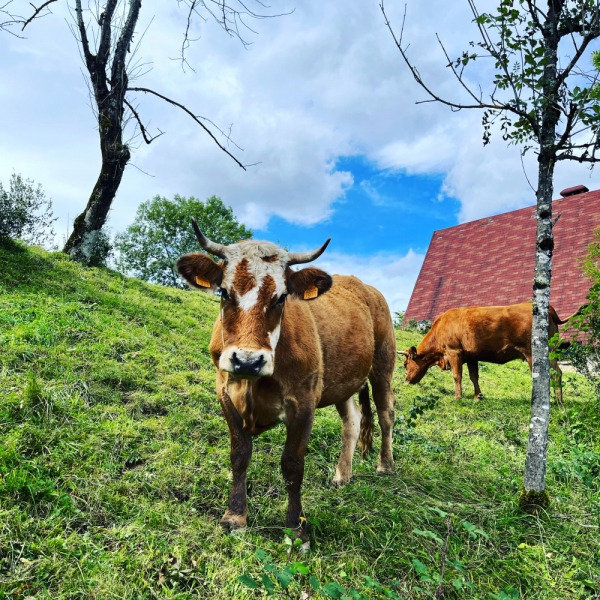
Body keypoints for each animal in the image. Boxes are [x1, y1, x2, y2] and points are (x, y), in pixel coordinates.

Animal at [176, 221, 396, 548]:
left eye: (281, 298)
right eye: (224, 292)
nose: (248, 361)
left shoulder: (303, 403)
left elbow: (293, 466)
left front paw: (296, 528)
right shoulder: (225, 393)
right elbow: (239, 456)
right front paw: (234, 517)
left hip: (383, 364)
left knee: (385, 415)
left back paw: (385, 466)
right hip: (343, 382)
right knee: (353, 421)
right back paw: (342, 475)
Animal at [398, 302, 568, 400]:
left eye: (405, 365)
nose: (406, 381)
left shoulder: (454, 353)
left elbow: (457, 376)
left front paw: (458, 397)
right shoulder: (471, 357)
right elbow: (474, 377)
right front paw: (477, 397)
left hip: (534, 353)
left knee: (550, 375)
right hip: (551, 351)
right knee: (558, 373)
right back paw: (559, 404)